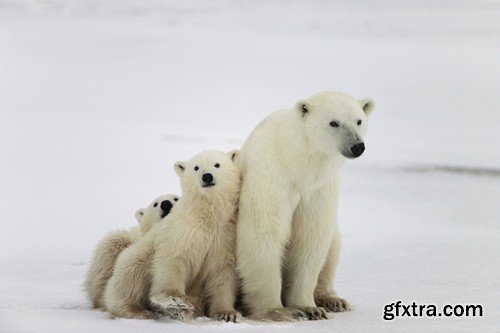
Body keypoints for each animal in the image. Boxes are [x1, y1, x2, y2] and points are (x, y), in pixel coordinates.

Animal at [236, 90, 374, 320]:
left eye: (359, 120)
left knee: (333, 246)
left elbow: (310, 237)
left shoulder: (319, 188)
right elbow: (263, 232)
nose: (357, 146)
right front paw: (279, 310)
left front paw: (309, 308)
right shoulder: (271, 178)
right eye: (333, 122)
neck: (297, 163)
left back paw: (333, 300)